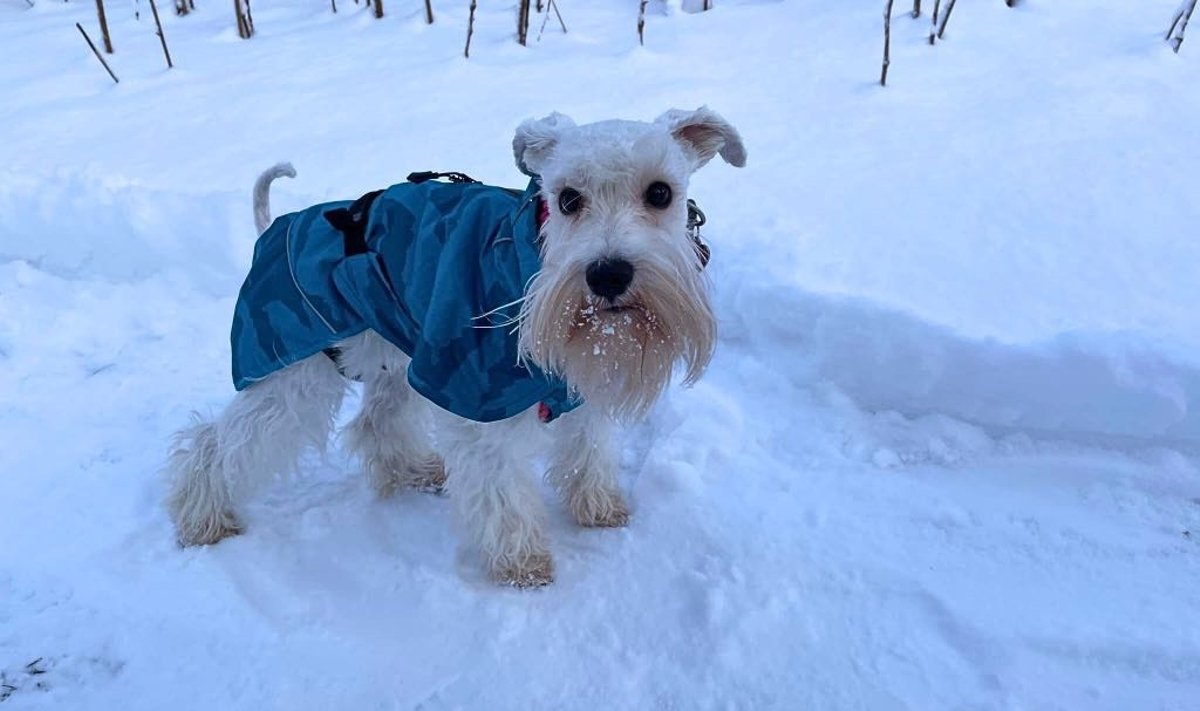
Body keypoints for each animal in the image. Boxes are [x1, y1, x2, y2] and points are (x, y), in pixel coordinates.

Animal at [164, 103, 744, 583]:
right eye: (567, 199)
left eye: (661, 193)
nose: (607, 274)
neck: (532, 261)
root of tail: (271, 229)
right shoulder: (476, 399)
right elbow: (501, 489)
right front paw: (522, 562)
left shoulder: (572, 385)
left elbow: (588, 449)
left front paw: (599, 506)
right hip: (291, 371)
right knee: (214, 444)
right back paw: (204, 519)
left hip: (397, 355)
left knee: (376, 421)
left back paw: (416, 470)